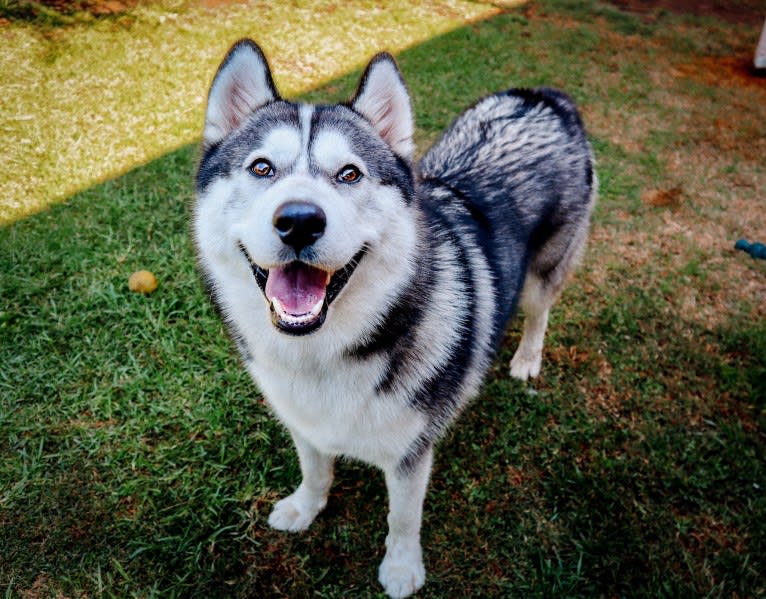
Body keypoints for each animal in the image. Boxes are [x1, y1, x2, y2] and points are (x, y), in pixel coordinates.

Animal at [194, 39, 600, 596]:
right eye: (261, 168)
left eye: (349, 173)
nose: (299, 220)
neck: (323, 353)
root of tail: (543, 97)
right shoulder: (304, 424)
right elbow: (315, 470)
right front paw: (305, 507)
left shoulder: (412, 450)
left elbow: (403, 516)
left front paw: (403, 567)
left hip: (546, 270)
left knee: (540, 310)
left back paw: (526, 357)